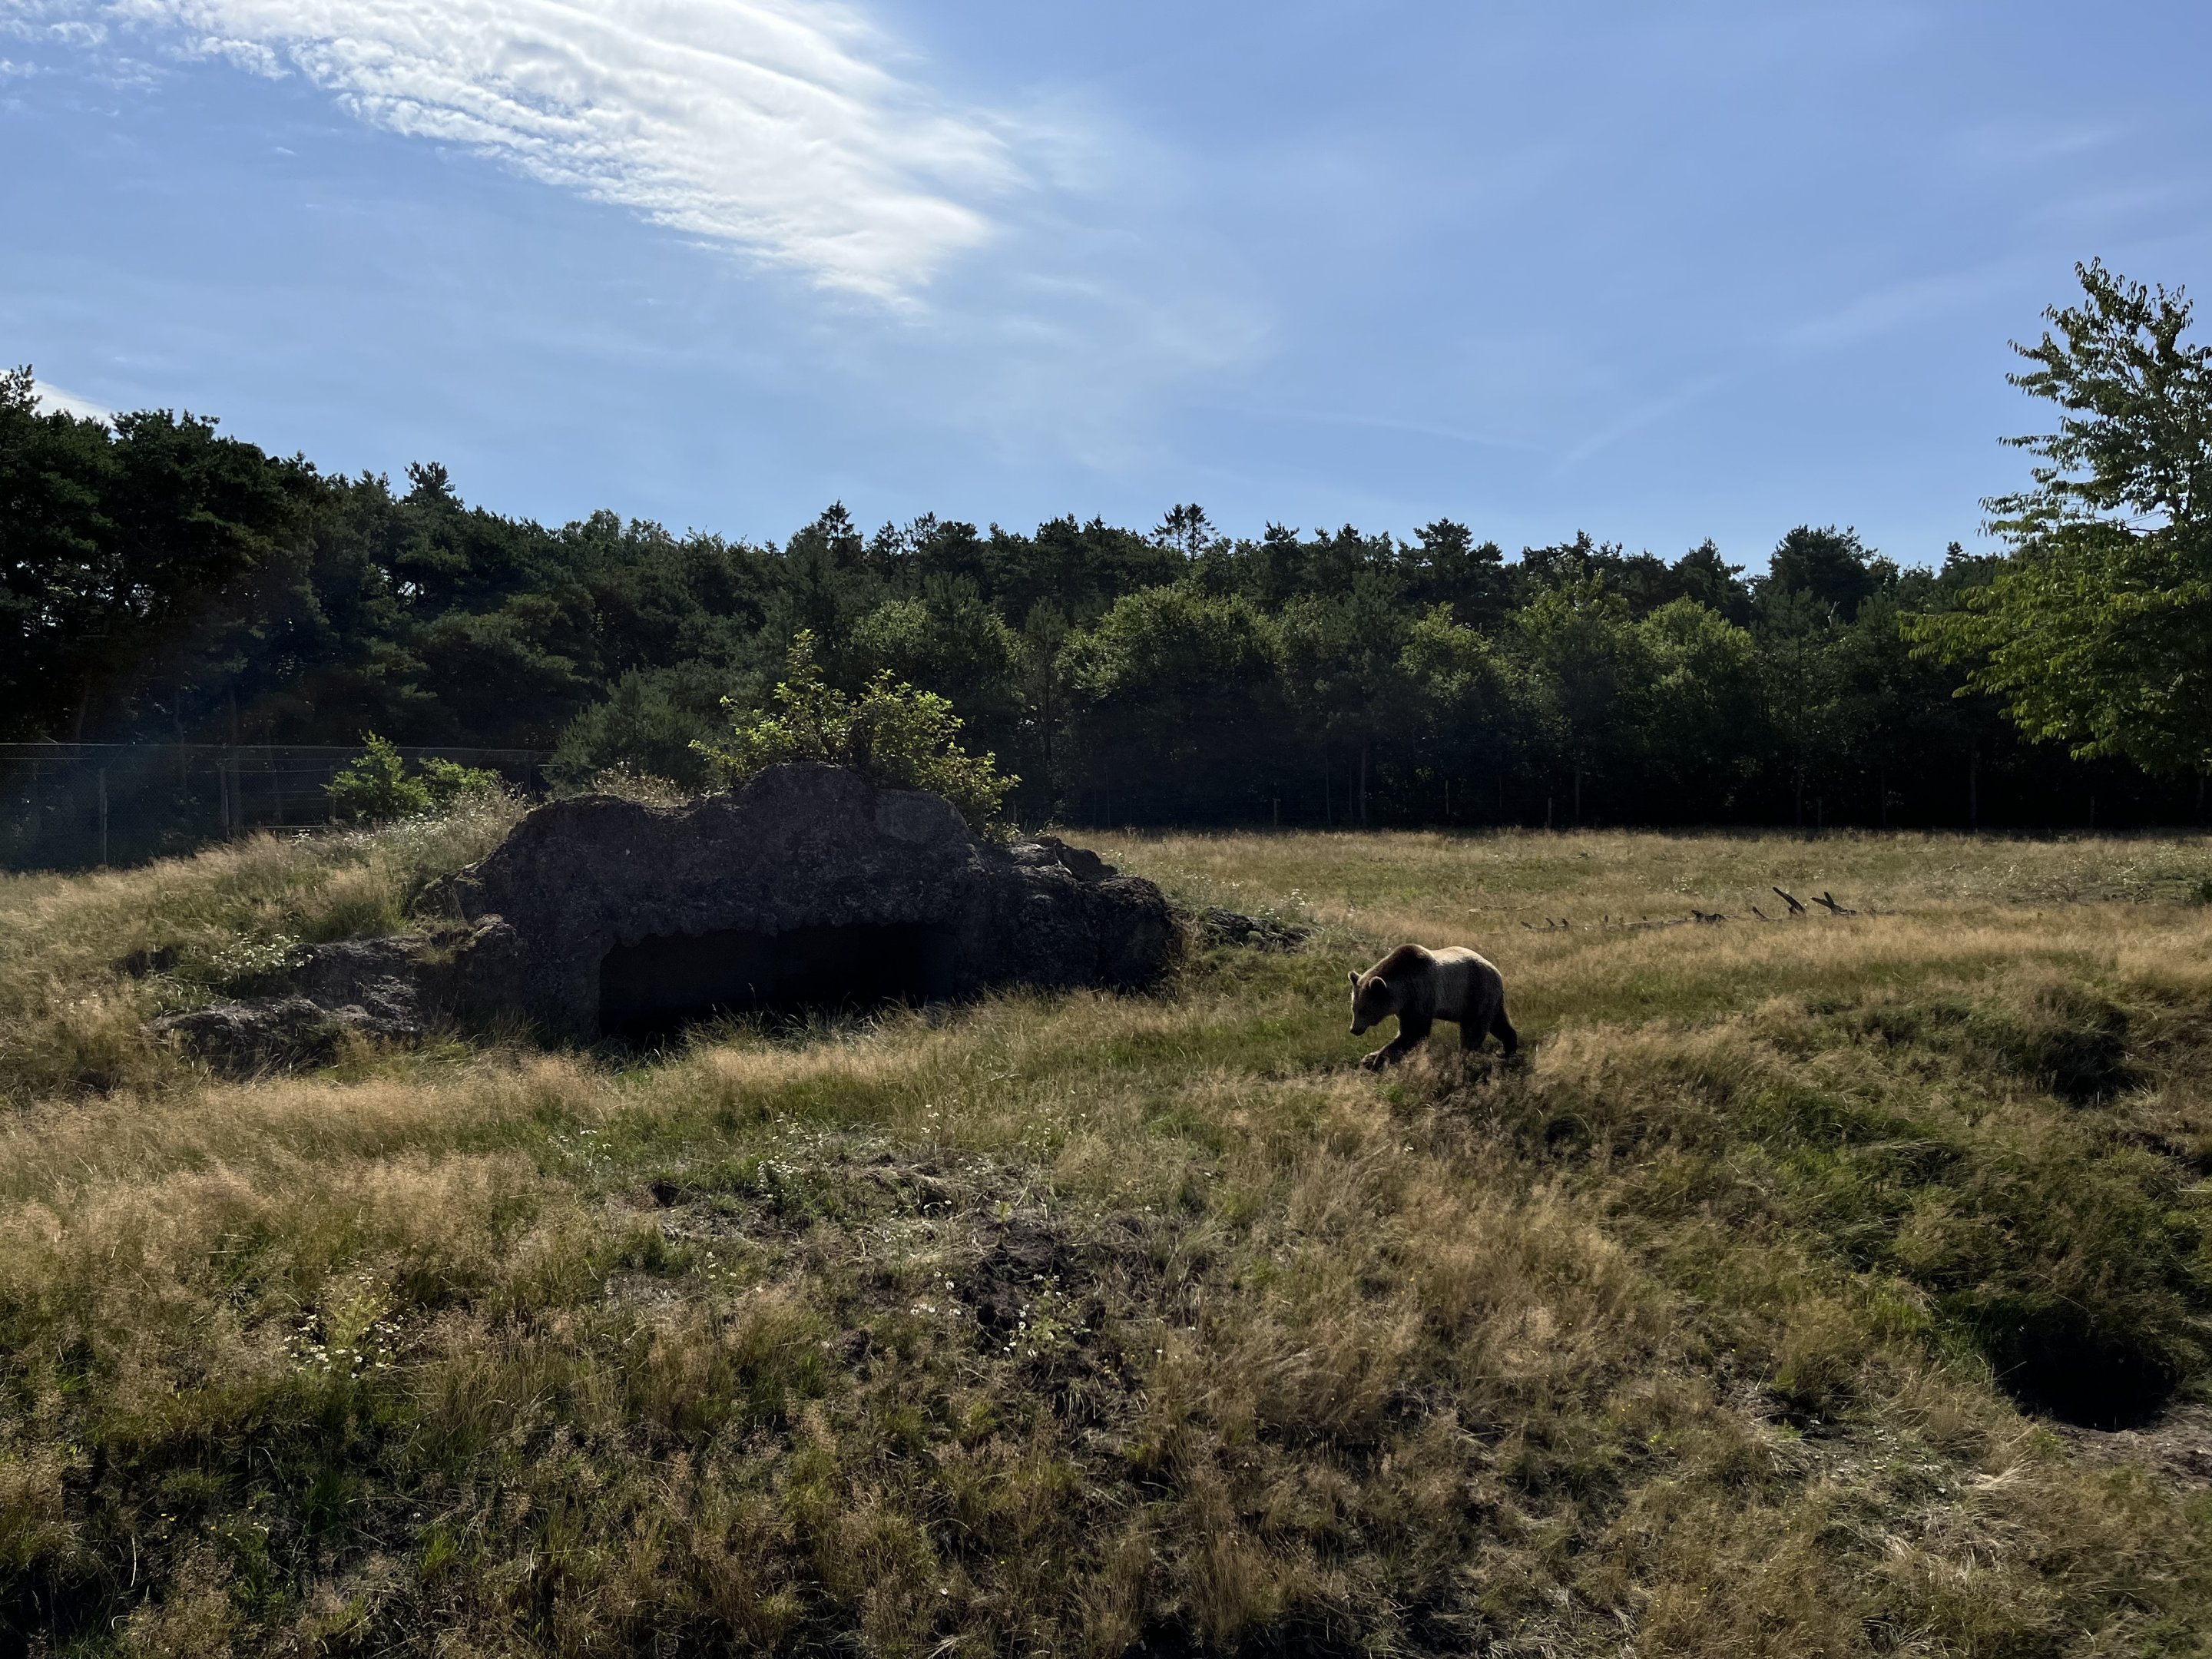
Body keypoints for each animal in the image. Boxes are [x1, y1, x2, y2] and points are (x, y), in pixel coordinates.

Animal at [1348, 943, 1516, 1070]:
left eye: (1364, 1010)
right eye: (1353, 1008)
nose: (1354, 1030)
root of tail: (1496, 971)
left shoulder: (1421, 993)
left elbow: (1414, 1032)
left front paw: (1379, 1060)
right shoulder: (1405, 1006)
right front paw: (1369, 1058)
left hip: (1477, 992)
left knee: (1473, 1030)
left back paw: (1461, 1057)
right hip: (1489, 1000)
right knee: (1499, 1023)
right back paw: (1507, 1050)